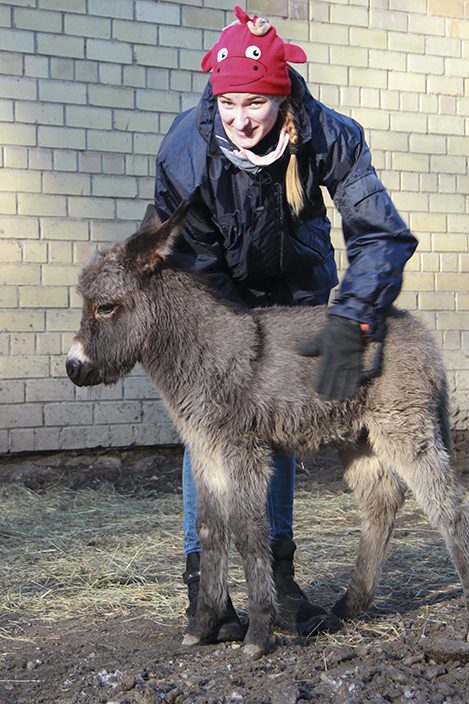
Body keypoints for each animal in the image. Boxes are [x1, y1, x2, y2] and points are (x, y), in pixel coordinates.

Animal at [66, 204, 468, 660]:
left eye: (105, 307)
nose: (73, 368)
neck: (202, 352)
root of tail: (418, 328)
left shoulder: (243, 450)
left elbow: (248, 530)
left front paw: (258, 632)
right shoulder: (205, 450)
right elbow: (210, 529)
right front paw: (205, 624)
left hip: (403, 425)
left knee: (447, 503)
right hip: (360, 438)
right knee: (381, 502)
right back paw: (349, 605)